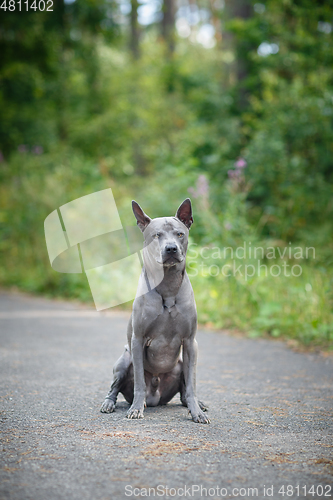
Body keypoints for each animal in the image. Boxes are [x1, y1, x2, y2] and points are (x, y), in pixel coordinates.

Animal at [98, 198, 209, 422]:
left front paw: (196, 412)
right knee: (115, 388)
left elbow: (191, 385)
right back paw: (110, 403)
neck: (167, 285)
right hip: (124, 360)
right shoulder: (138, 340)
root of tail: (156, 397)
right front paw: (136, 408)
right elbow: (140, 381)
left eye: (180, 234)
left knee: (184, 393)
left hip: (180, 363)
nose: (171, 249)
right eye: (156, 235)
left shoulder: (190, 342)